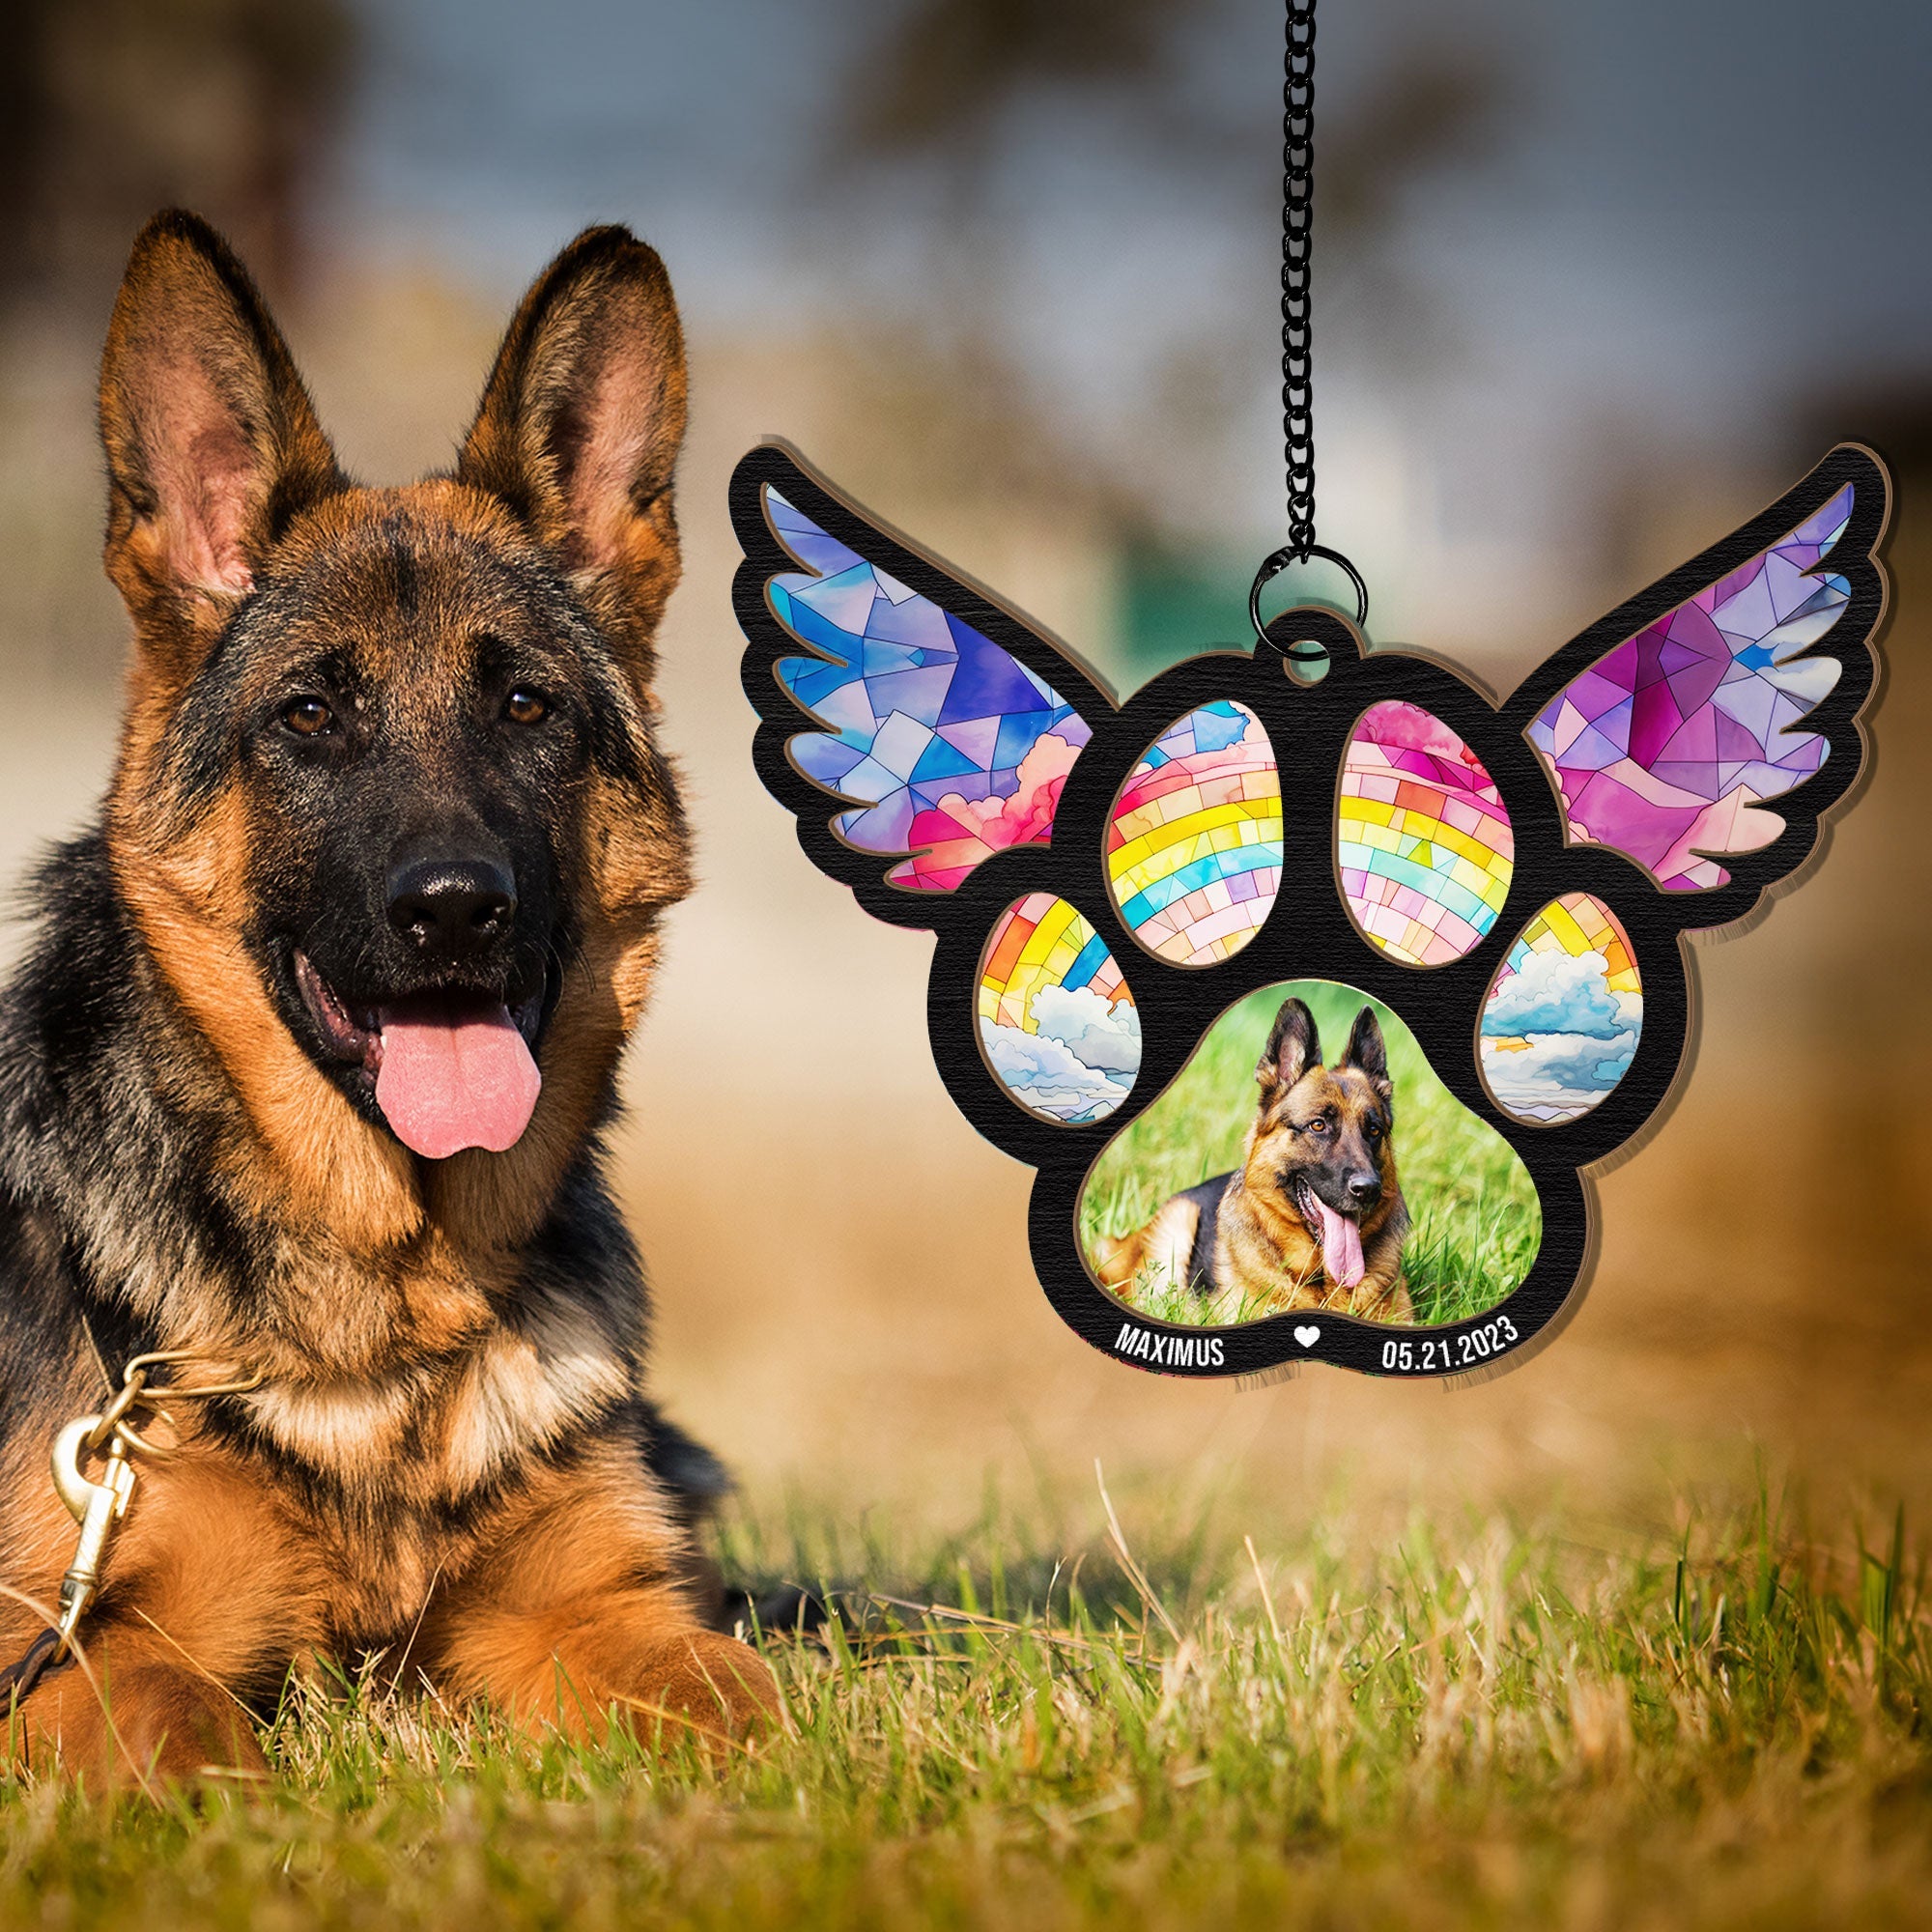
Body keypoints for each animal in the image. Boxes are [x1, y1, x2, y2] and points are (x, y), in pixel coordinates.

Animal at [0, 212, 784, 1777]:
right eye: (309, 715)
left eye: (528, 707)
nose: (455, 909)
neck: (391, 1325)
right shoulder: (65, 1643)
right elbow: (176, 1716)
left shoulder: (601, 1609)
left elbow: (766, 1704)